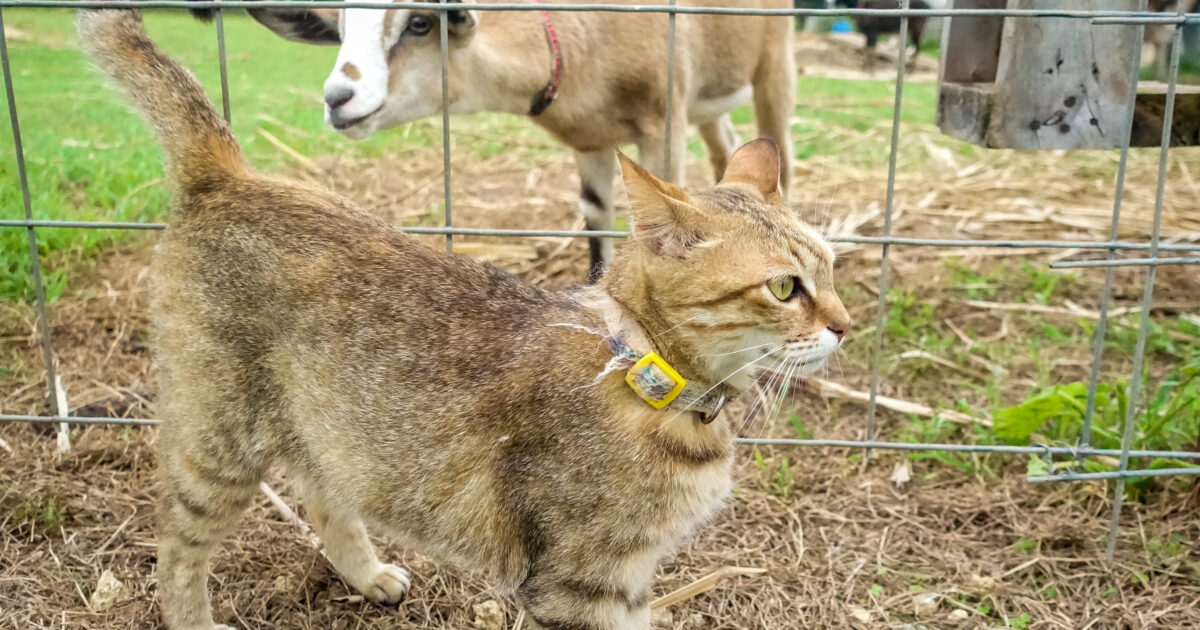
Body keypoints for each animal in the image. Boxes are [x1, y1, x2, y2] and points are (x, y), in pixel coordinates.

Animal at [77, 7, 854, 624]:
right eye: (784, 288)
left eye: (830, 270)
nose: (845, 325)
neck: (644, 368)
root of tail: (228, 173)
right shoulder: (578, 585)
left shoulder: (627, 582)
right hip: (219, 438)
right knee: (176, 544)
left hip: (328, 423)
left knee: (325, 492)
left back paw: (367, 574)